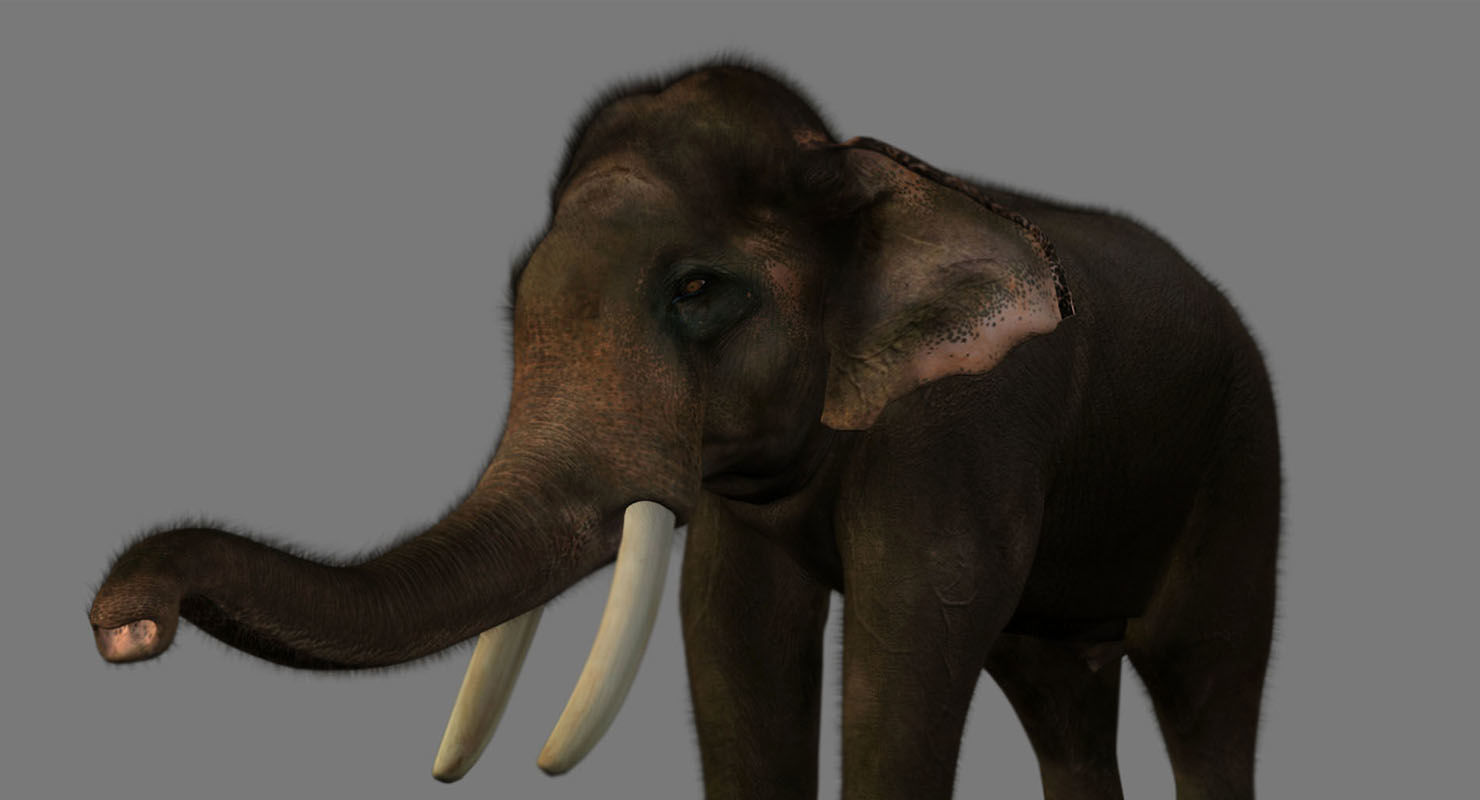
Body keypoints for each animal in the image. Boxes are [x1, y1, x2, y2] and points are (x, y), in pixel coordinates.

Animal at [88, 59, 1280, 800]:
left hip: (1241, 464)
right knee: (1061, 693)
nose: (125, 623)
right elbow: (730, 641)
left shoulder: (960, 442)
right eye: (512, 297)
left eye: (699, 287)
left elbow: (904, 652)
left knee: (1206, 686)